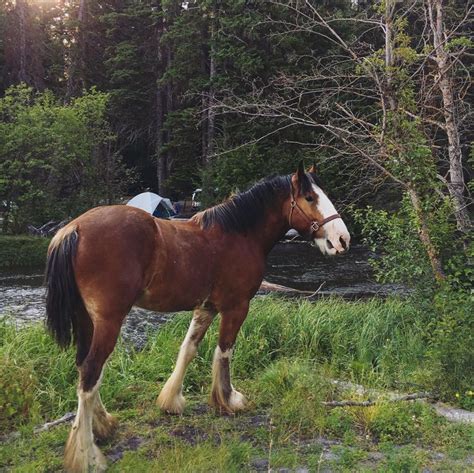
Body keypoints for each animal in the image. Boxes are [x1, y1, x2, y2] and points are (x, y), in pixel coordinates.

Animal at [45, 161, 348, 468]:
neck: (239, 234)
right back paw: (87, 455)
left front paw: (171, 400)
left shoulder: (206, 308)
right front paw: (227, 399)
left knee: (85, 368)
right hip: (108, 322)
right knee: (90, 374)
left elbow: (188, 349)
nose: (342, 239)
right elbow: (224, 352)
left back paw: (104, 424)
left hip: (86, 320)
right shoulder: (236, 307)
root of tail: (73, 229)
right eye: (310, 198)